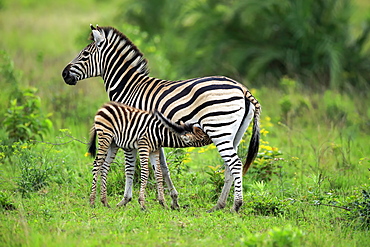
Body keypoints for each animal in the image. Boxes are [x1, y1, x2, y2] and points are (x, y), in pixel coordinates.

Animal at [62, 24, 260, 211]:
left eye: (85, 54)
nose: (64, 74)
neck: (129, 88)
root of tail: (242, 88)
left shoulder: (130, 130)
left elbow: (130, 166)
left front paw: (126, 200)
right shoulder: (153, 135)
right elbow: (162, 167)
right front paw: (172, 200)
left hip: (218, 128)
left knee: (235, 163)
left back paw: (236, 205)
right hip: (234, 134)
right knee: (229, 166)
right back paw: (219, 205)